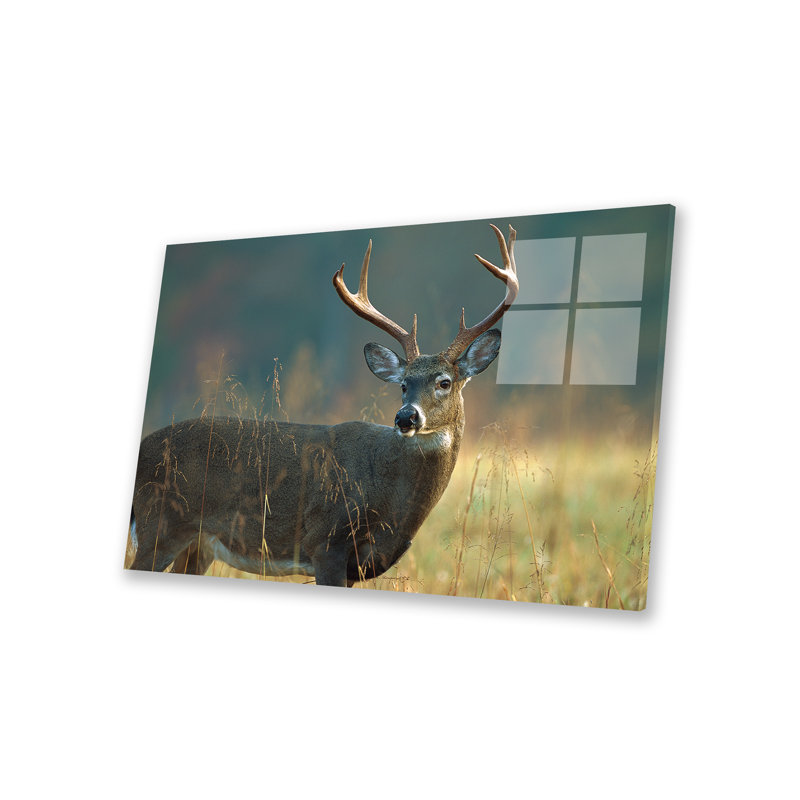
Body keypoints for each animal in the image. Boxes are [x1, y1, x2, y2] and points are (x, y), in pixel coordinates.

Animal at [127, 224, 519, 587]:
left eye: (444, 382)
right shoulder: (327, 543)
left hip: (196, 545)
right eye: (404, 384)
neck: (394, 504)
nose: (406, 417)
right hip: (160, 525)